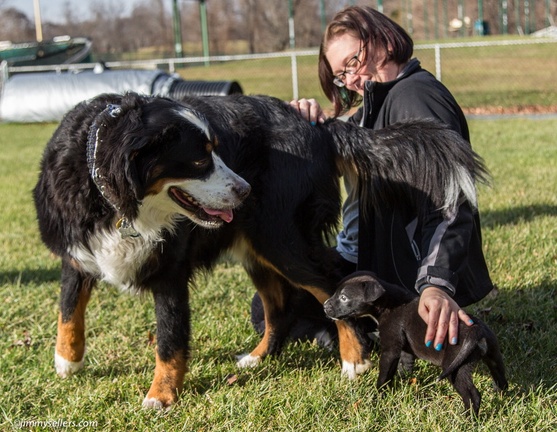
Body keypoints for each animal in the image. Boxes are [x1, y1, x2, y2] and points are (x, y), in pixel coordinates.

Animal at [34, 91, 486, 408]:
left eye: (216, 150)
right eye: (199, 160)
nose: (244, 190)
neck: (117, 204)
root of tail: (319, 127)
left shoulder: (171, 274)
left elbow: (169, 340)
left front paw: (160, 396)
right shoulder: (77, 251)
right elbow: (68, 308)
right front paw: (67, 361)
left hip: (281, 238)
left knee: (334, 286)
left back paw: (354, 360)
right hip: (258, 248)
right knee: (279, 308)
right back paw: (260, 358)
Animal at [322, 270, 508, 416]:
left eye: (344, 297)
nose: (324, 306)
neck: (388, 303)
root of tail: (476, 330)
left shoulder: (390, 349)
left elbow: (385, 375)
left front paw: (379, 393)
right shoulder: (405, 348)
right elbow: (405, 363)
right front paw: (404, 380)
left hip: (456, 367)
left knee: (472, 395)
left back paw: (468, 419)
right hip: (493, 356)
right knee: (501, 379)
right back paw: (502, 397)